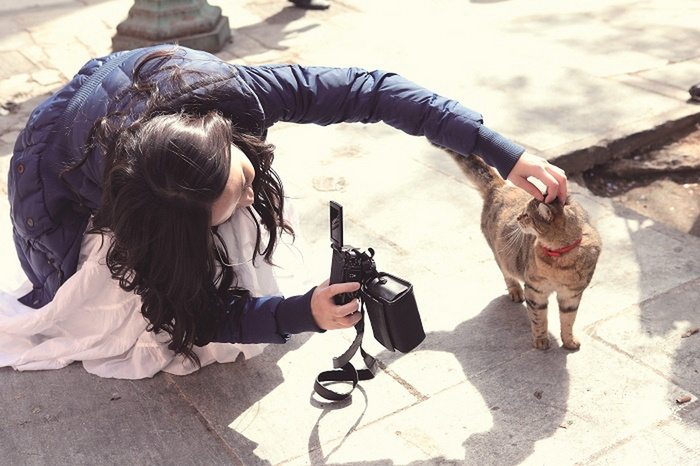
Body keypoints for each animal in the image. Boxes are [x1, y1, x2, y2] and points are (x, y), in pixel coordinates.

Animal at [448, 149, 600, 350]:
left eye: (527, 215)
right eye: (523, 211)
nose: (519, 217)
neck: (559, 259)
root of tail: (501, 186)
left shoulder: (572, 295)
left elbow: (568, 320)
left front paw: (569, 341)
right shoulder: (535, 291)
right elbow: (539, 318)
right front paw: (541, 340)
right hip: (501, 256)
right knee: (507, 274)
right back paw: (515, 292)